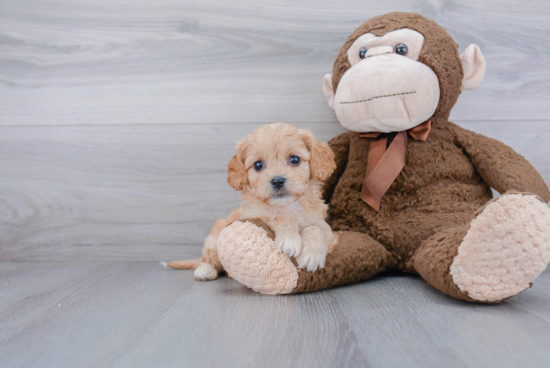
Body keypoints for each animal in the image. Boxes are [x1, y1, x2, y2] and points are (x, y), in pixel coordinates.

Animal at [168, 122, 338, 280]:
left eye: (294, 159)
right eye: (258, 165)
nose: (277, 181)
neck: (287, 206)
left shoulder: (325, 227)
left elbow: (315, 229)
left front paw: (312, 256)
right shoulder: (253, 215)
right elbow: (277, 216)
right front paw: (290, 239)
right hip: (212, 242)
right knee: (210, 261)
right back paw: (205, 270)